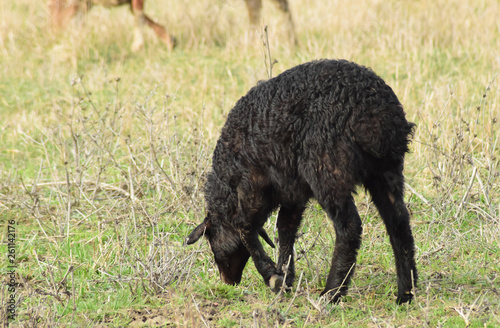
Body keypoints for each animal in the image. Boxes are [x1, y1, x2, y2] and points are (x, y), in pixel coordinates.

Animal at [186, 59, 416, 304]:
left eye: (211, 241)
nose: (227, 282)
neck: (226, 181)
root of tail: (375, 113)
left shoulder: (252, 185)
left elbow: (244, 226)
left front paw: (271, 275)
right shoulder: (292, 191)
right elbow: (285, 228)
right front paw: (285, 278)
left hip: (328, 170)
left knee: (350, 228)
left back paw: (332, 292)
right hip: (386, 170)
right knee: (398, 222)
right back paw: (405, 293)